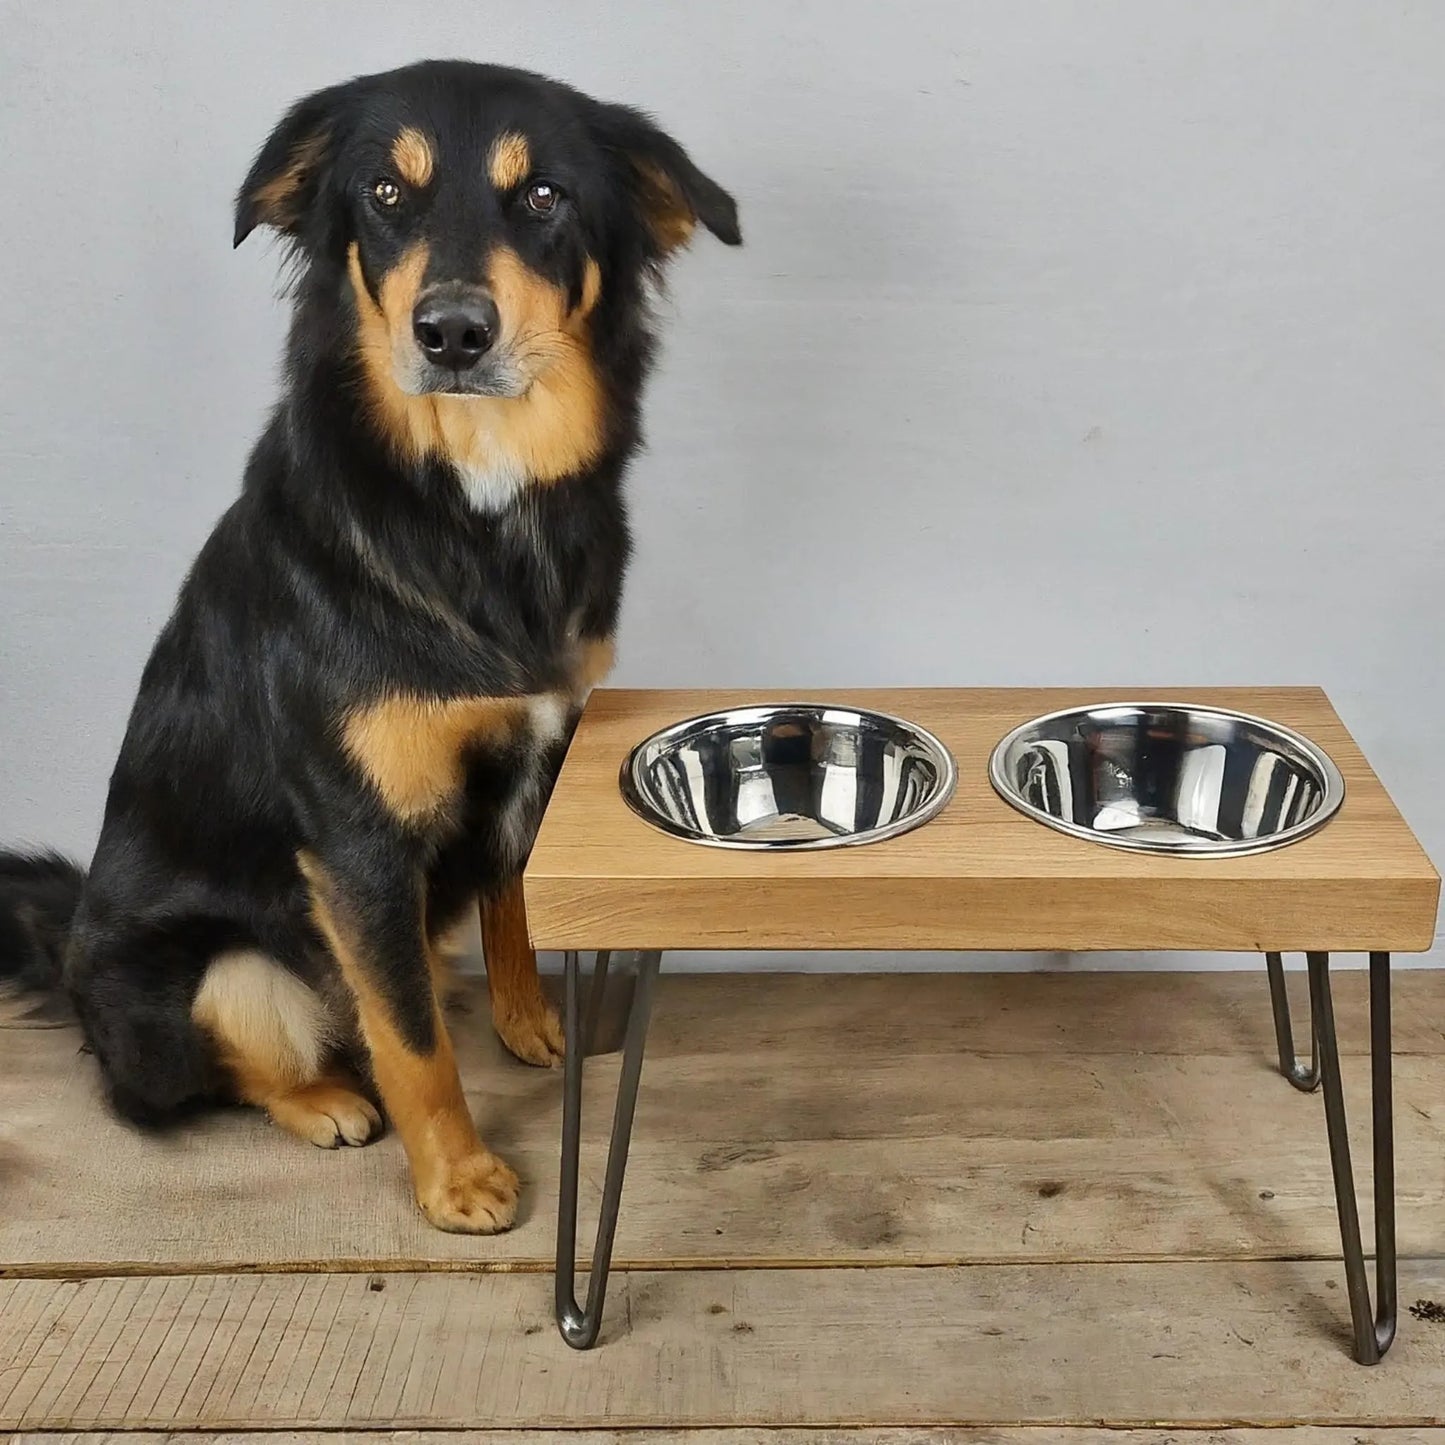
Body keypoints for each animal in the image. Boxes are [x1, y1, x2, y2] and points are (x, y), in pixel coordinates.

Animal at [0, 62, 739, 1236]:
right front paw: (460, 1176)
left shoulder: (539, 749)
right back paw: (321, 1100)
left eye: (543, 197)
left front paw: (528, 1022)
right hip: (221, 973)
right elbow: (411, 1039)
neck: (473, 500)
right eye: (386, 196)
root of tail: (67, 938)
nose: (453, 333)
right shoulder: (359, 840)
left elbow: (512, 905)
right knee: (187, 1079)